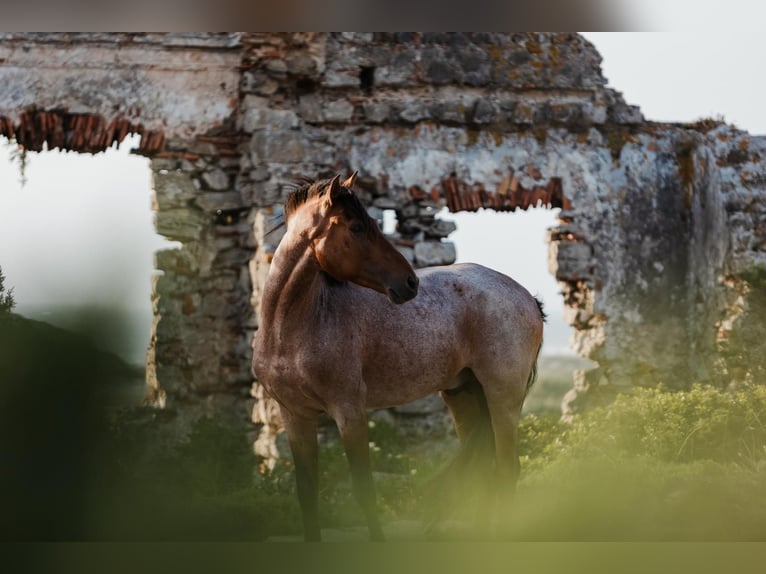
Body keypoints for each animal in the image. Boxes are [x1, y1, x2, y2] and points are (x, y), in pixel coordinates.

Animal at [252, 173, 544, 544]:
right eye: (356, 227)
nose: (409, 282)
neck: (289, 329)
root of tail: (527, 297)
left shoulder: (349, 412)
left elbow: (364, 489)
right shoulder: (294, 415)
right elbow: (307, 492)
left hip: (503, 397)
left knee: (507, 469)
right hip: (465, 396)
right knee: (484, 467)